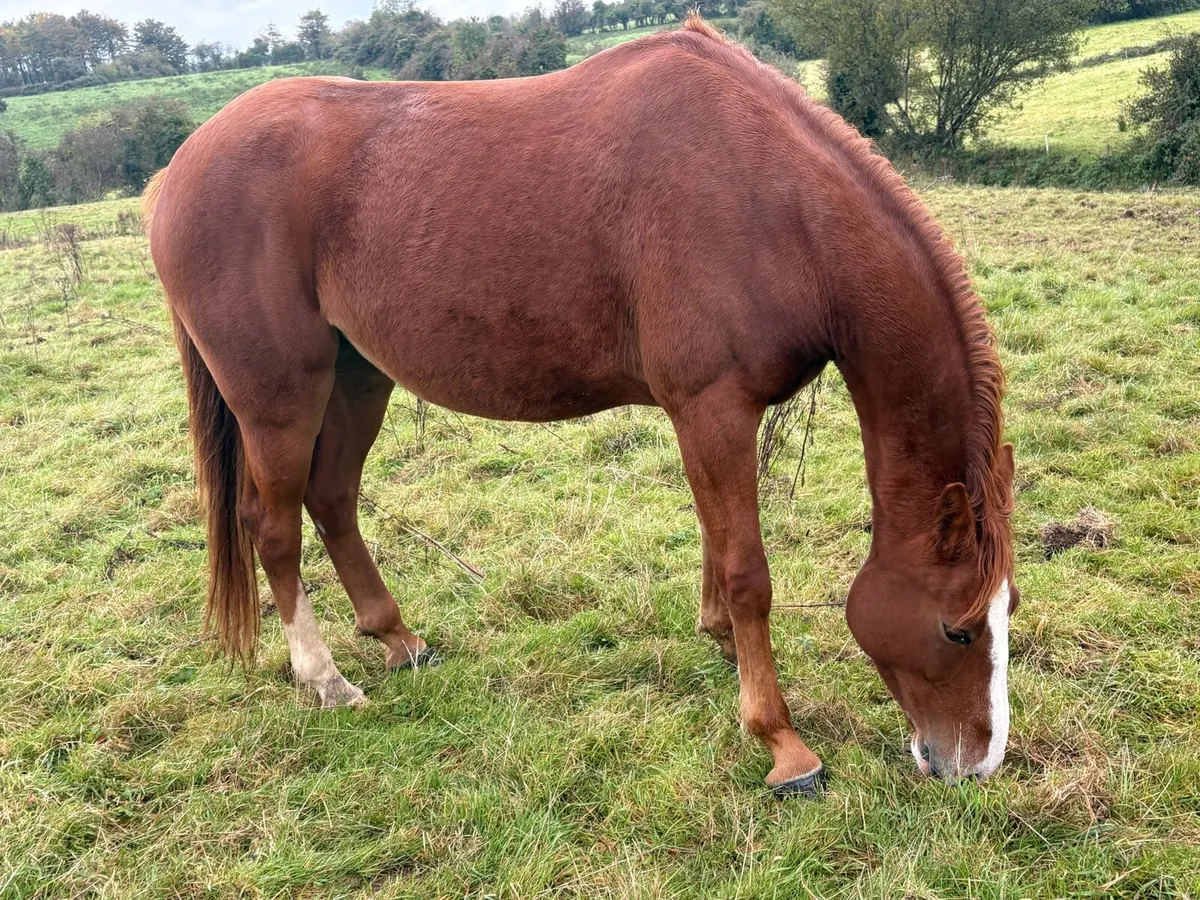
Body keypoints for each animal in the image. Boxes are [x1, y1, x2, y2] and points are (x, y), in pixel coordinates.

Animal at [143, 15, 1017, 797]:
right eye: (958, 627)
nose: (975, 764)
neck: (774, 200)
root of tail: (176, 171)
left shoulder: (706, 418)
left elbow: (716, 542)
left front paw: (720, 643)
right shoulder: (712, 407)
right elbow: (748, 573)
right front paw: (782, 744)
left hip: (359, 377)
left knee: (332, 500)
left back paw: (398, 639)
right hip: (279, 397)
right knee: (274, 528)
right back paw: (326, 681)